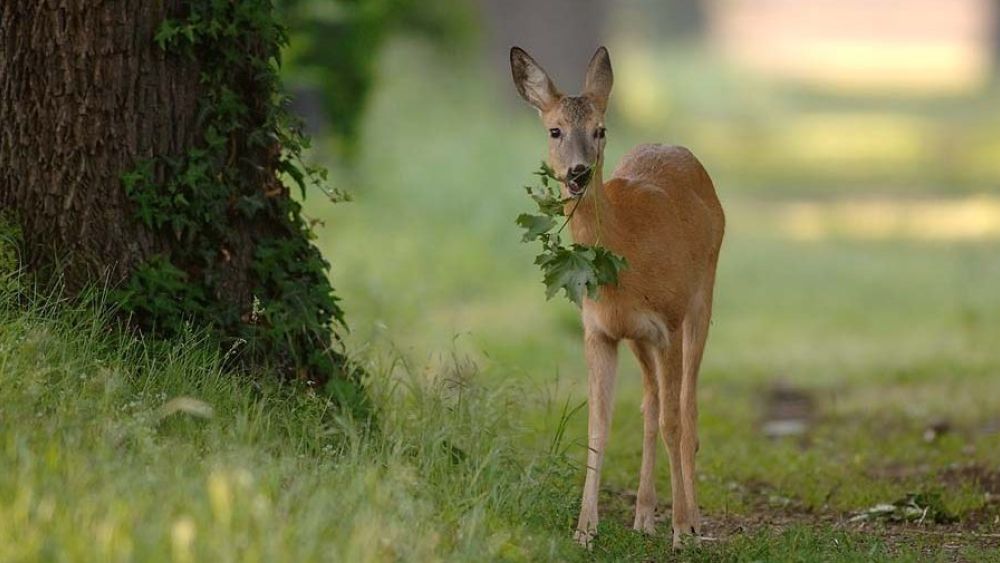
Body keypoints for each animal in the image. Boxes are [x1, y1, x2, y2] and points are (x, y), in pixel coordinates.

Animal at [509, 46, 725, 549]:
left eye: (600, 130)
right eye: (554, 130)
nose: (578, 172)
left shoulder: (668, 321)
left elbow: (673, 422)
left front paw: (681, 530)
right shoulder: (600, 331)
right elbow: (598, 426)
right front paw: (584, 530)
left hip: (701, 298)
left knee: (686, 409)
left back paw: (692, 520)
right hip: (639, 339)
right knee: (650, 402)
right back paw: (643, 516)